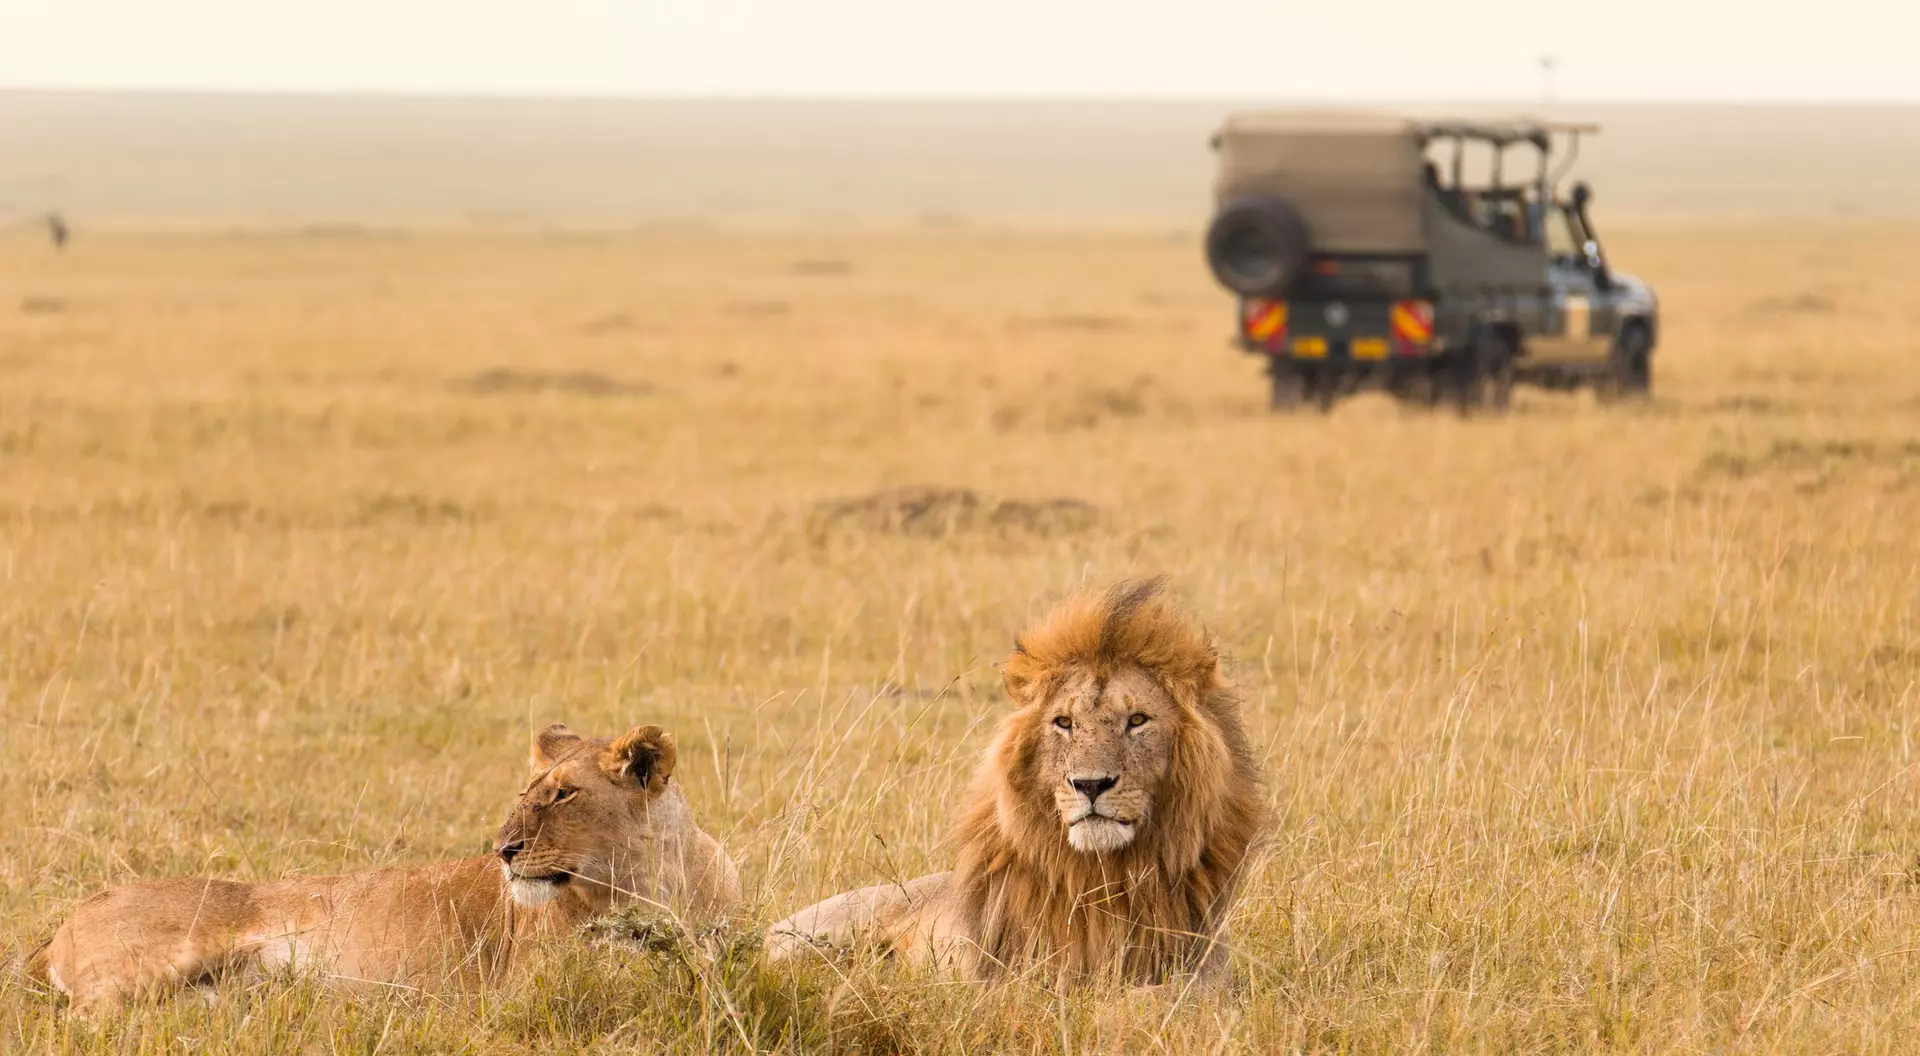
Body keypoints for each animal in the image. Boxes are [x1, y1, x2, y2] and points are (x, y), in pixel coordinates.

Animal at [28, 723, 740, 1012]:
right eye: (527, 790)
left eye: (563, 794)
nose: (503, 850)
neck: (656, 881)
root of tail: (63, 923)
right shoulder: (528, 986)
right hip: (150, 963)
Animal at [767, 578, 1266, 984]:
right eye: (1064, 723)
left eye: (1138, 720)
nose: (1090, 785)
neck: (1103, 877)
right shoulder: (1001, 977)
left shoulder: (1203, 976)